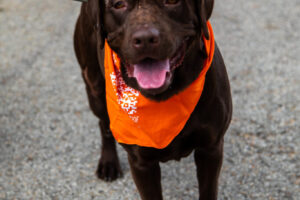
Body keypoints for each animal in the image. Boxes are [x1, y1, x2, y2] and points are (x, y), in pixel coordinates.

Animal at [73, 0, 232, 199]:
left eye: (172, 1)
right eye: (118, 4)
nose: (145, 39)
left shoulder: (211, 148)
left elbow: (208, 190)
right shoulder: (141, 162)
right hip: (95, 89)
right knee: (105, 124)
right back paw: (108, 163)